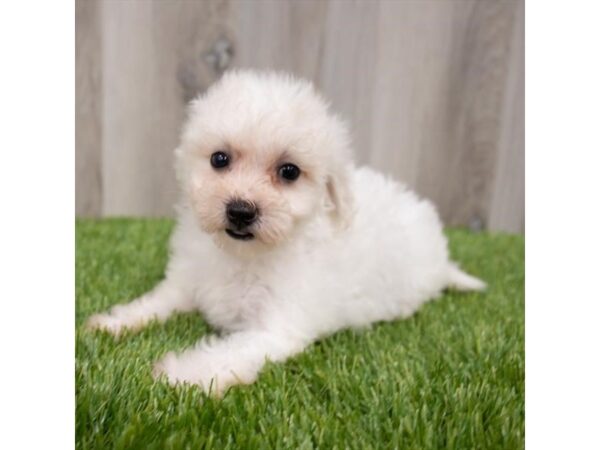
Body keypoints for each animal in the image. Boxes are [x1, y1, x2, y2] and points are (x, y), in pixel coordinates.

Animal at [86, 69, 486, 394]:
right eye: (219, 159)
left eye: (289, 172)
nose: (241, 210)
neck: (242, 256)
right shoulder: (188, 280)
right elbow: (157, 300)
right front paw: (113, 322)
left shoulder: (274, 328)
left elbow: (230, 353)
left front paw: (181, 374)